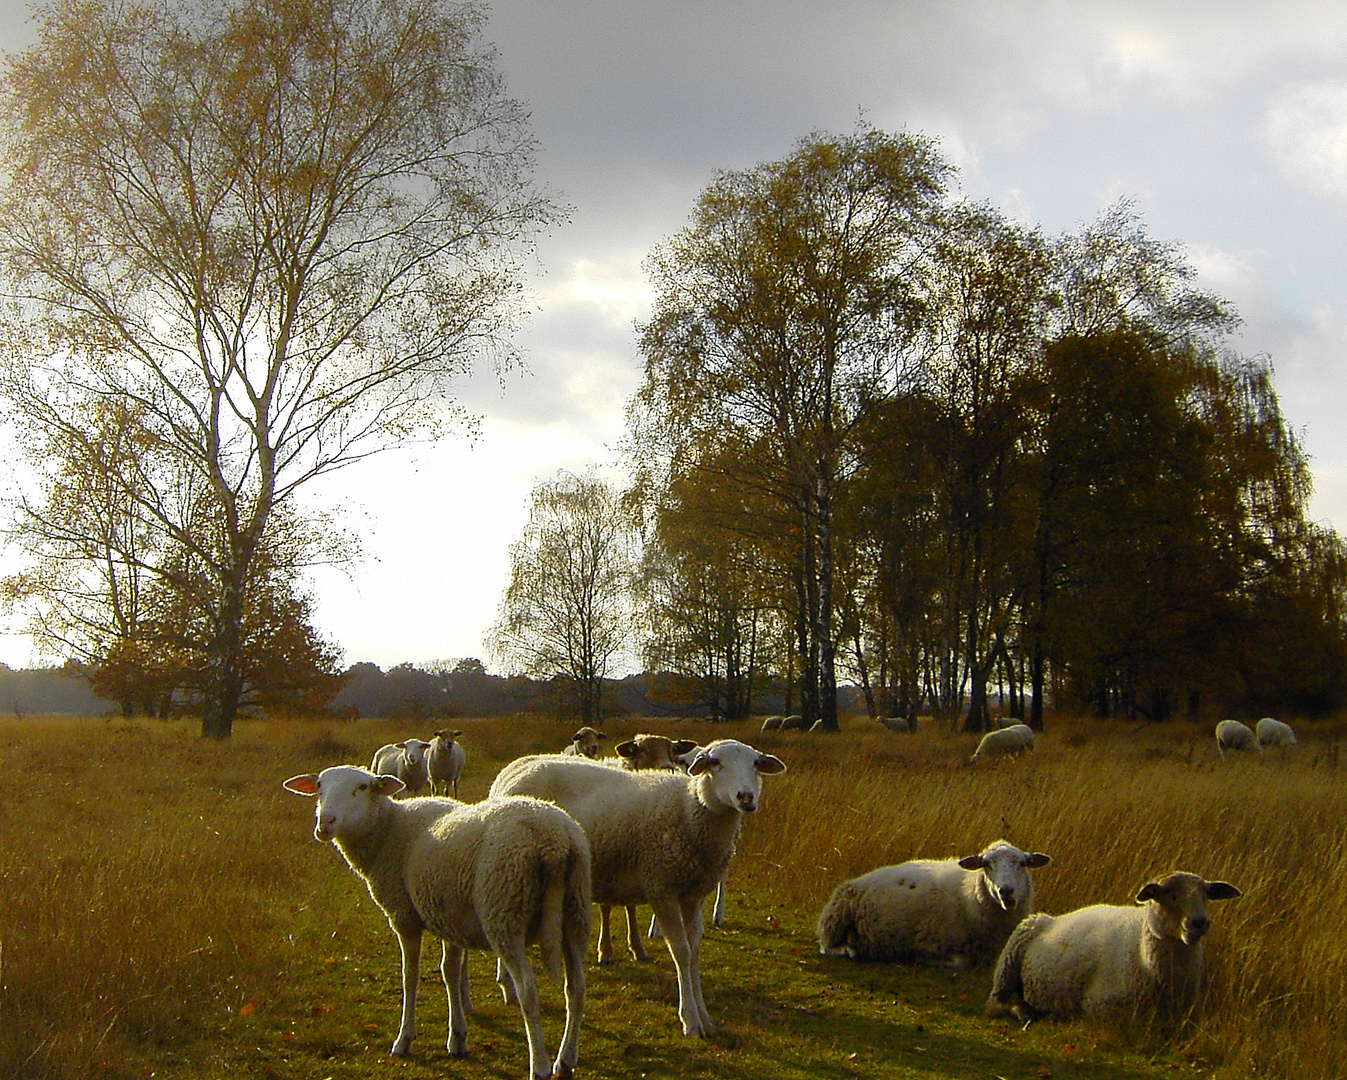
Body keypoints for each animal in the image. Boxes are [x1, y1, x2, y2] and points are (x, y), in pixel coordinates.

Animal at [282, 759, 589, 1077]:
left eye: (363, 787)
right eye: (319, 786)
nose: (325, 823)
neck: (388, 831)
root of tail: (553, 840)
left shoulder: (404, 916)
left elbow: (410, 976)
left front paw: (404, 1039)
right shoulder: (449, 914)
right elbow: (450, 972)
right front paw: (458, 1038)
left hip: (505, 912)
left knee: (528, 989)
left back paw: (539, 1065)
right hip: (575, 910)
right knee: (577, 987)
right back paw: (565, 1060)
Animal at [493, 737, 786, 1028]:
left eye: (756, 764)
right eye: (715, 762)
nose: (746, 797)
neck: (689, 809)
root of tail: (513, 770)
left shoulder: (692, 894)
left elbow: (694, 953)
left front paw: (703, 1015)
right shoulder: (662, 889)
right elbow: (681, 953)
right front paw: (690, 1020)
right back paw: (507, 985)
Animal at [808, 834, 1050, 969]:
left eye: (1022, 863)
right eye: (987, 865)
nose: (1006, 891)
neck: (969, 895)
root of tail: (854, 882)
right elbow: (959, 963)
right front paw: (922, 959)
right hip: (835, 921)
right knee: (827, 948)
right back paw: (851, 952)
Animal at [986, 867, 1244, 1018]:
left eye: (1206, 895)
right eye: (1169, 894)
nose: (1200, 922)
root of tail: (1052, 918)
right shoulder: (1099, 1004)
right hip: (1008, 964)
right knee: (997, 1003)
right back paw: (1026, 1011)